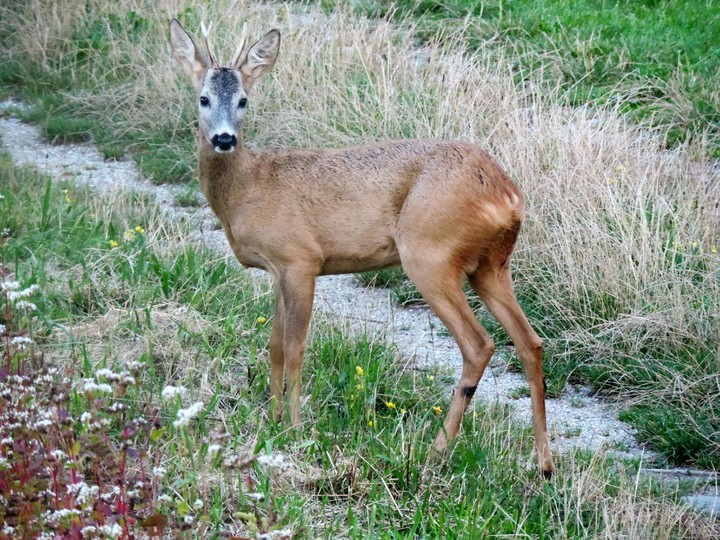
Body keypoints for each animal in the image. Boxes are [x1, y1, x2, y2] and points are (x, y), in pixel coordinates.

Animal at [169, 18, 554, 477]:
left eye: (244, 99)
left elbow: (296, 348)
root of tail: (508, 195)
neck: (247, 187)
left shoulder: (301, 259)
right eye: (204, 98)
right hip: (491, 266)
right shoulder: (279, 270)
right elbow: (275, 345)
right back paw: (543, 465)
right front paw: (272, 420)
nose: (225, 139)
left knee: (480, 344)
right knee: (530, 342)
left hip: (429, 254)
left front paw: (294, 429)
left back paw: (435, 451)